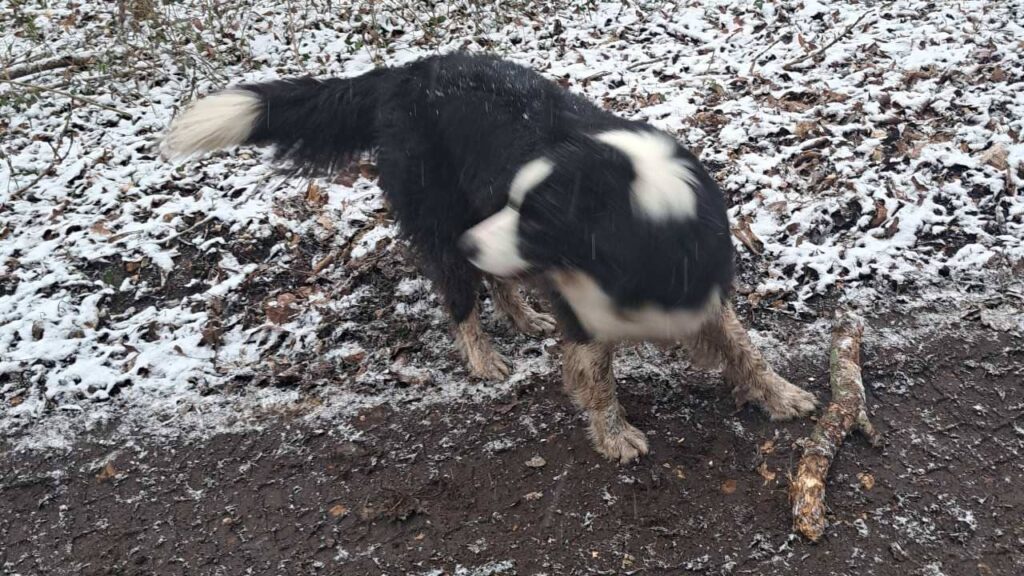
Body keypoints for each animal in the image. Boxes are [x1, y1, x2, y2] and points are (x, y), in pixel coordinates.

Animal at [159, 50, 815, 461]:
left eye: (539, 219)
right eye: (526, 208)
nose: (474, 240)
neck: (648, 218)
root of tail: (403, 75)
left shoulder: (702, 289)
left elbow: (744, 348)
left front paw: (781, 394)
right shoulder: (585, 319)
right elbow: (598, 380)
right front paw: (615, 436)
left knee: (495, 279)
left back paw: (523, 316)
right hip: (441, 221)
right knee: (461, 295)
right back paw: (483, 357)